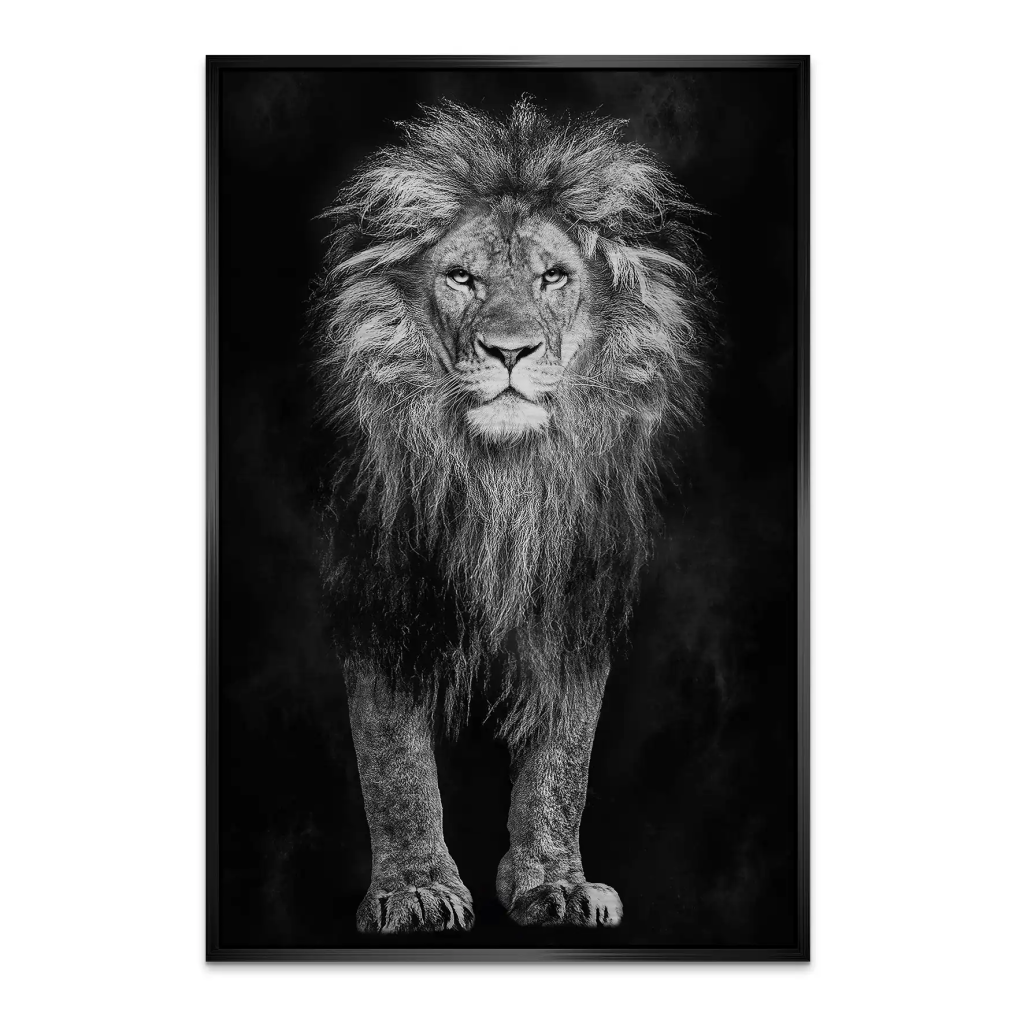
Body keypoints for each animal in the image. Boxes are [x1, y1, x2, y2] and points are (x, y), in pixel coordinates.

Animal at [313, 98, 713, 933]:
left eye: (552, 276)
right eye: (461, 277)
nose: (509, 351)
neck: (504, 480)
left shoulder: (576, 592)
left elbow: (564, 762)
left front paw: (554, 884)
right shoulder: (380, 587)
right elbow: (394, 758)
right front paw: (416, 889)